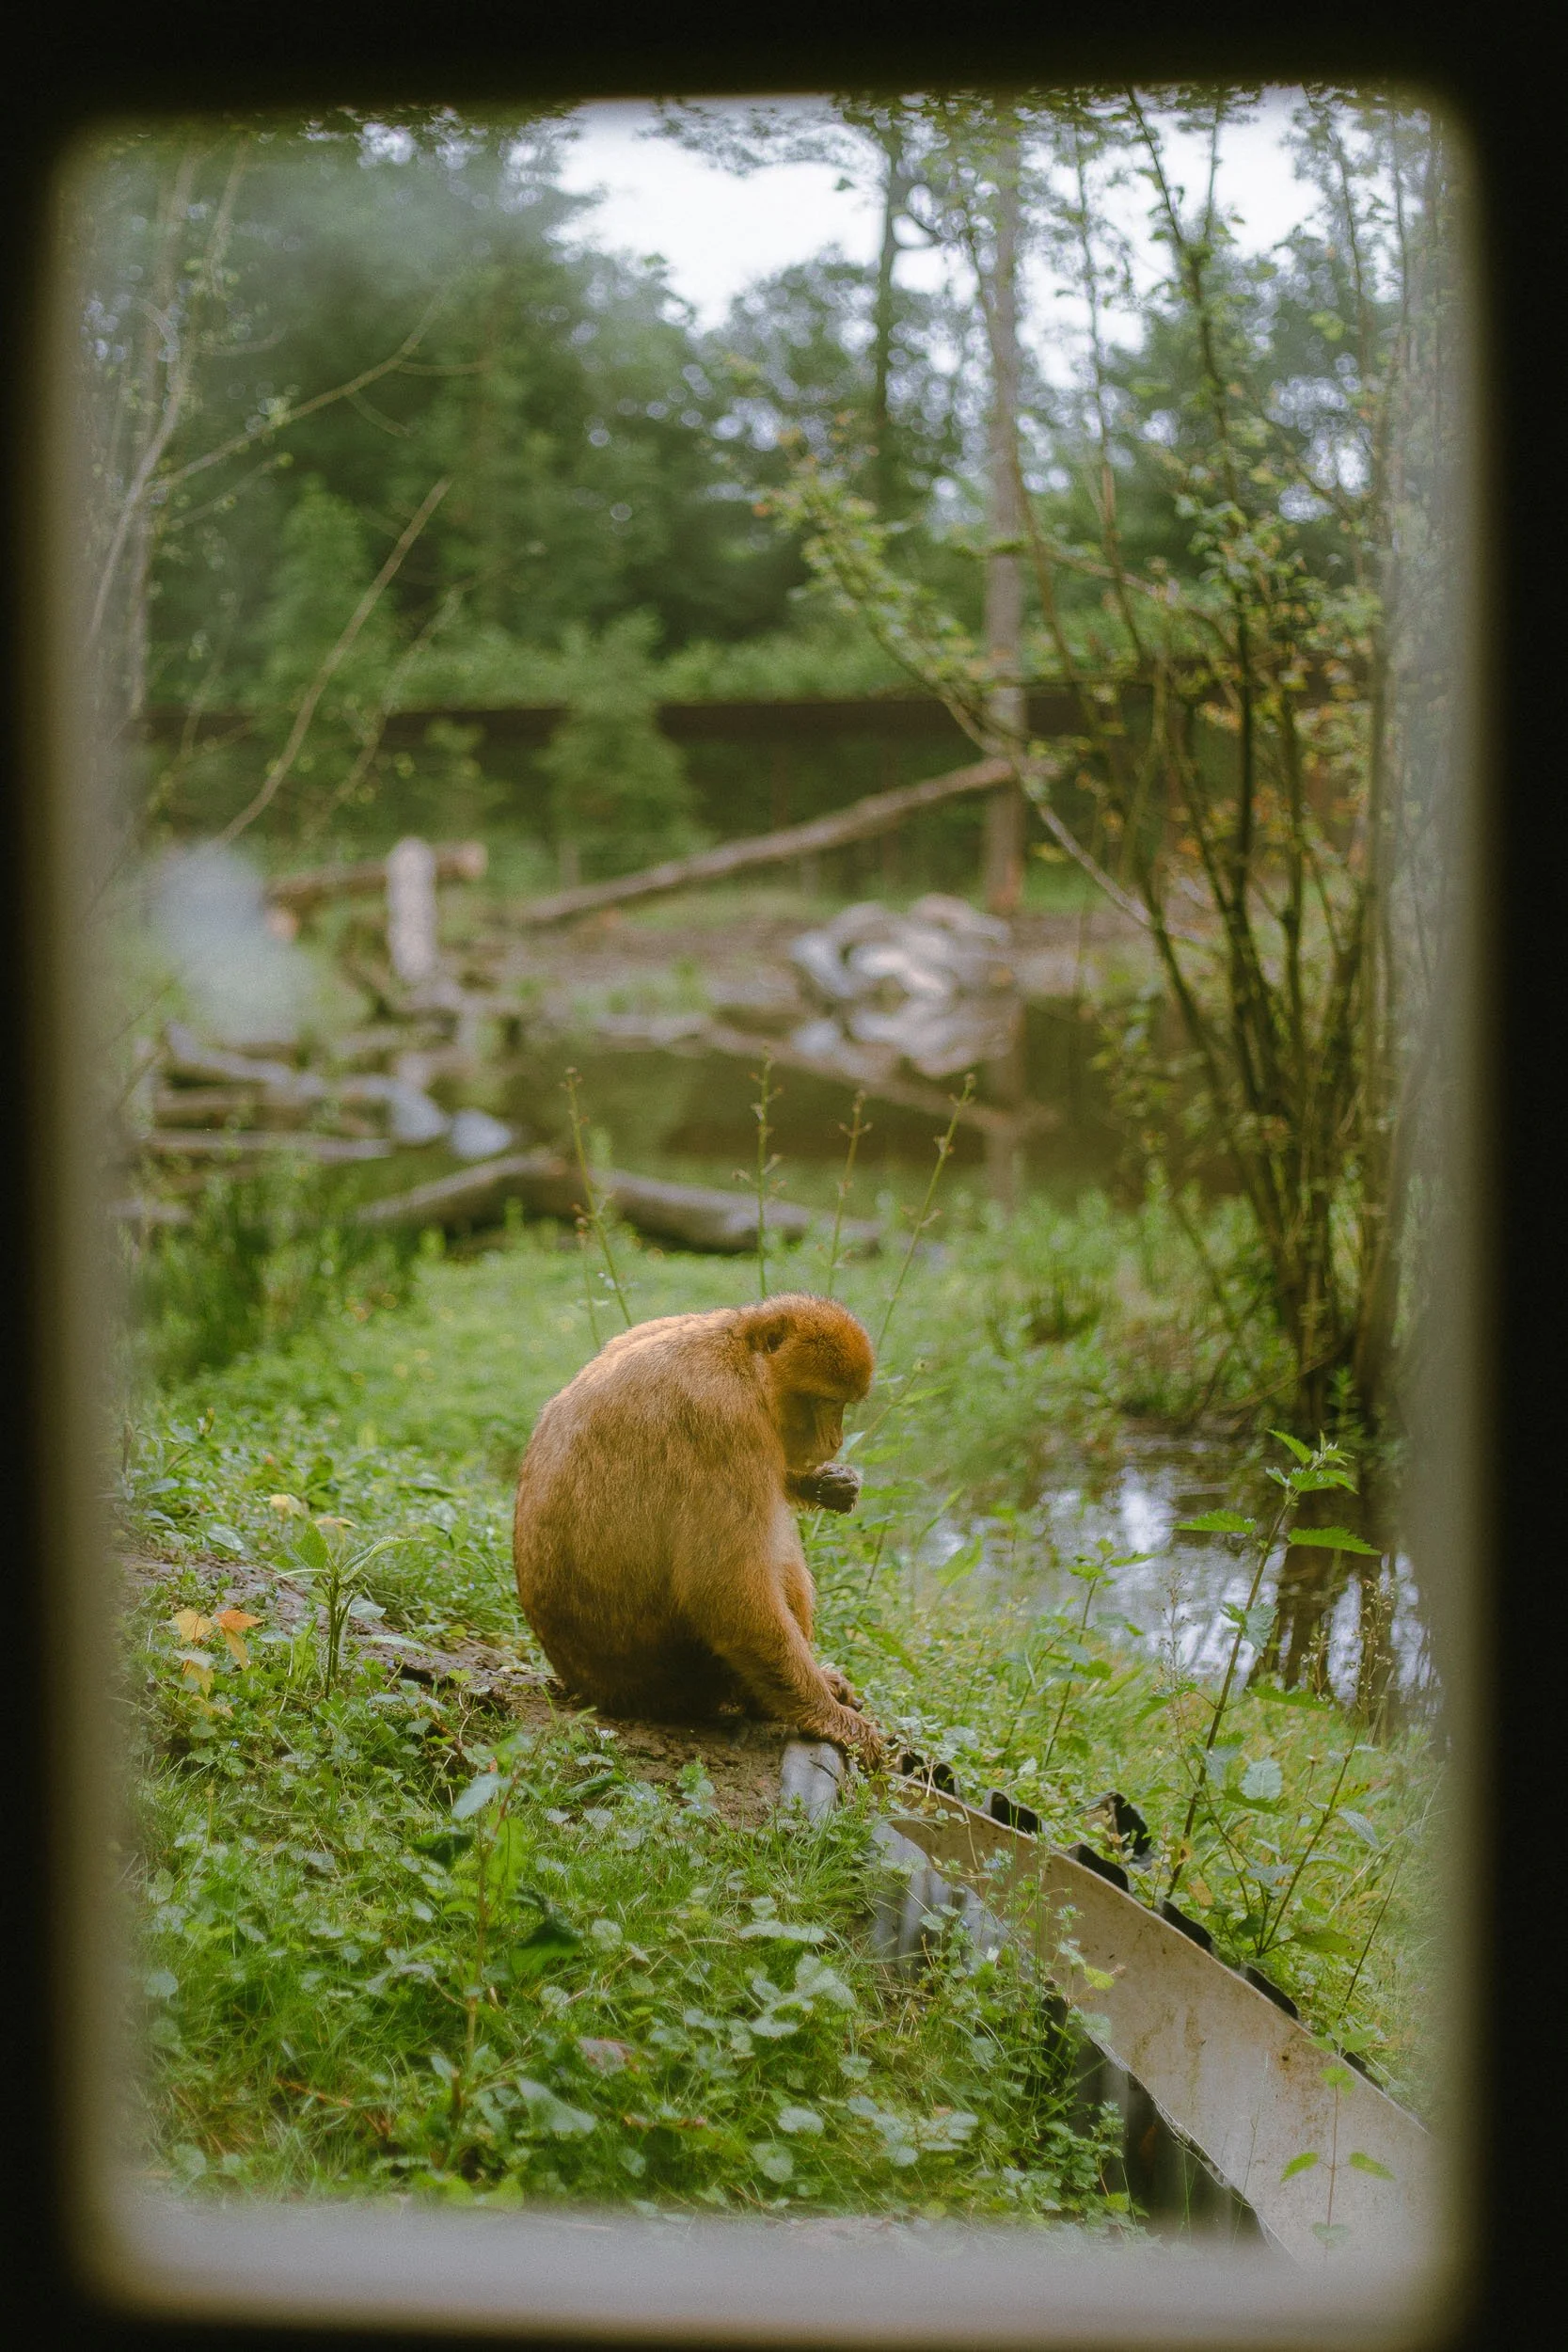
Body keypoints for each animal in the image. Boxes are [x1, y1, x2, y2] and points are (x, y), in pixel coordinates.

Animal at [512, 1293, 884, 1766]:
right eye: (824, 1402)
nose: (834, 1440)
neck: (738, 1354)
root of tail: (589, 1690)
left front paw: (830, 1483)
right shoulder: (725, 1420)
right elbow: (724, 1589)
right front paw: (830, 1720)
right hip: (679, 1677)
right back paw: (771, 1705)